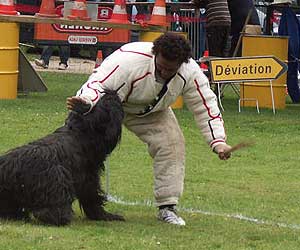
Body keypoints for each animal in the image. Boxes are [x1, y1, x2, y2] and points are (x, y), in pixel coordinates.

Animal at [0, 90, 124, 227]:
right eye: (111, 103)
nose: (112, 92)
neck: (80, 131)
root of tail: (11, 165)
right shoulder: (88, 176)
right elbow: (92, 197)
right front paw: (104, 215)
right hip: (57, 178)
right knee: (48, 211)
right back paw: (62, 218)